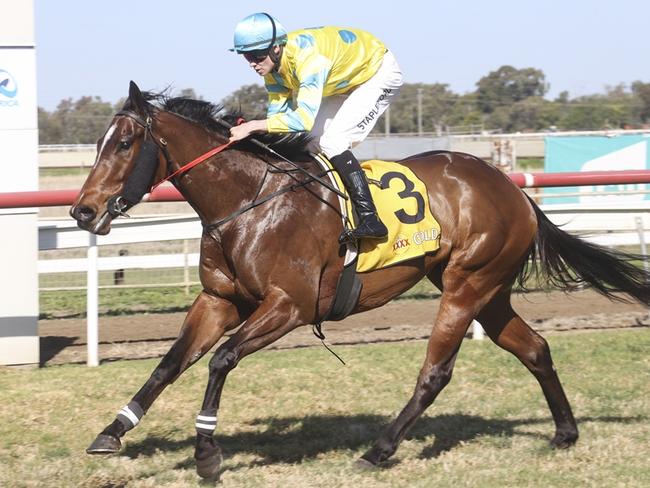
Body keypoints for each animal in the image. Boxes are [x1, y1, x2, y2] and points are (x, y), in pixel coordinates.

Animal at [71, 82, 648, 478]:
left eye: (124, 143)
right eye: (99, 141)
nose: (82, 211)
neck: (247, 202)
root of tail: (514, 189)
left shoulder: (290, 305)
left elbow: (221, 359)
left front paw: (208, 453)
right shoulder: (219, 299)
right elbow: (170, 362)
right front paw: (112, 431)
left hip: (468, 285)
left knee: (436, 373)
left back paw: (379, 449)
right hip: (487, 290)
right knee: (535, 348)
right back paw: (565, 432)